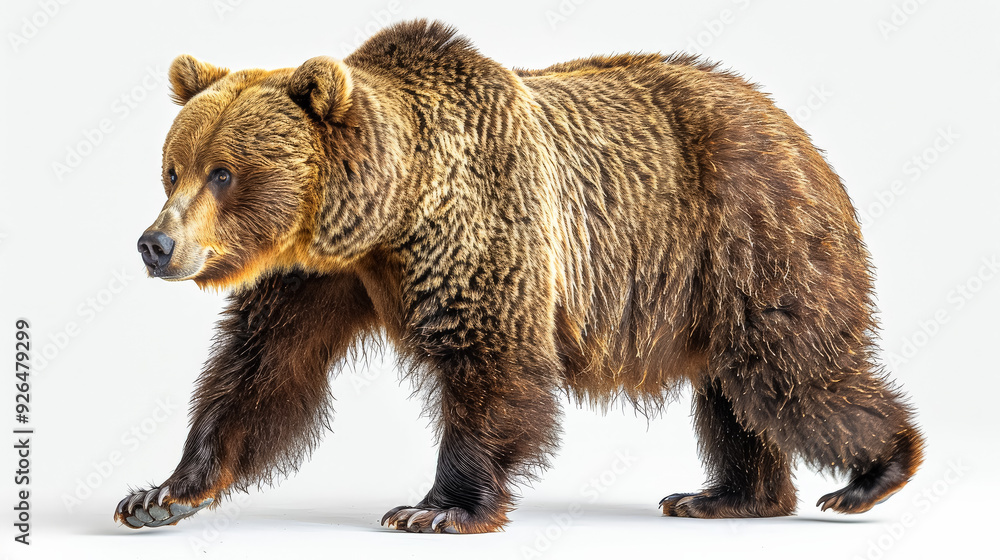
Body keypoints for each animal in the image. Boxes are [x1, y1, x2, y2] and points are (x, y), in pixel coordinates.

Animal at [116, 19, 923, 533]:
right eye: (173, 168)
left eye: (224, 173)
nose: (155, 244)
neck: (385, 213)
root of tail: (792, 128)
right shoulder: (320, 276)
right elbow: (263, 368)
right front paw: (161, 493)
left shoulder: (483, 230)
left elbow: (491, 365)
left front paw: (436, 507)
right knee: (733, 392)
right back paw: (723, 497)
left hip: (748, 233)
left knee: (787, 371)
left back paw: (874, 473)